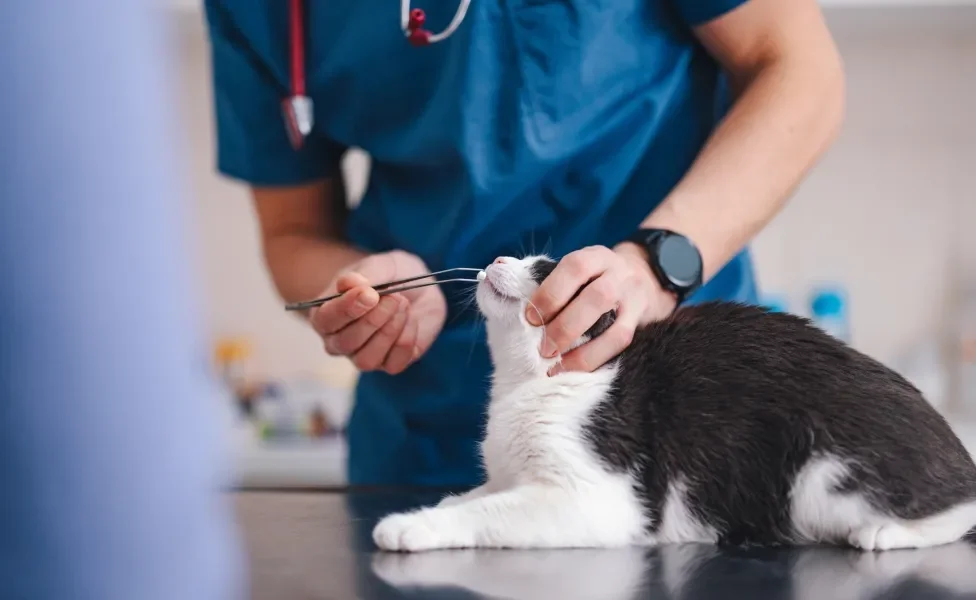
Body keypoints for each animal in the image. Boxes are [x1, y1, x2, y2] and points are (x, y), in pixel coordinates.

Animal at [372, 253, 976, 552]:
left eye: (543, 269)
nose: (496, 256)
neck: (524, 382)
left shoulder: (597, 499)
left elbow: (490, 511)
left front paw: (413, 527)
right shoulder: (516, 474)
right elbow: (483, 493)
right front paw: (441, 504)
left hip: (820, 477)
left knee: (958, 508)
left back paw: (887, 534)